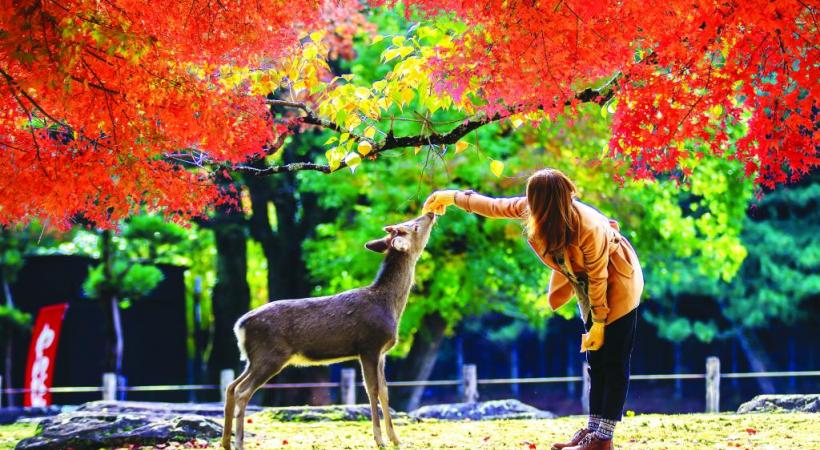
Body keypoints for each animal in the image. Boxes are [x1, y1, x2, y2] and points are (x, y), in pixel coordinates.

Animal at [218, 213, 436, 448]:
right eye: (414, 226)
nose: (430, 214)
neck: (390, 305)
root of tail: (239, 326)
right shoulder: (369, 345)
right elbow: (372, 390)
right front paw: (379, 441)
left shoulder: (382, 352)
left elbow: (385, 391)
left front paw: (395, 439)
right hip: (270, 355)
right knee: (242, 391)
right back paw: (239, 443)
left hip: (254, 358)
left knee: (231, 387)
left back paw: (225, 442)